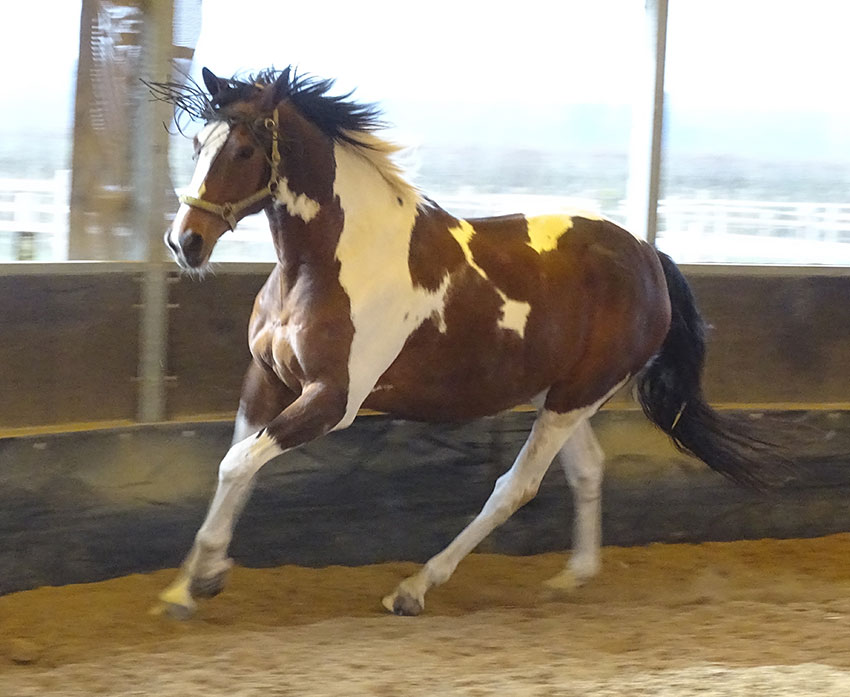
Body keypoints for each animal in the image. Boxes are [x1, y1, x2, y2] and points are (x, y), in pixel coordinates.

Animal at [149, 67, 791, 619]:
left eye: (243, 150)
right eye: (196, 144)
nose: (185, 242)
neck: (329, 263)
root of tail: (648, 255)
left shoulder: (333, 399)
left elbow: (237, 463)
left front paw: (202, 577)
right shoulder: (266, 379)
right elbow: (237, 464)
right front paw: (191, 584)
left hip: (576, 396)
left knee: (516, 486)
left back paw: (413, 589)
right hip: (560, 394)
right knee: (586, 470)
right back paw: (571, 578)